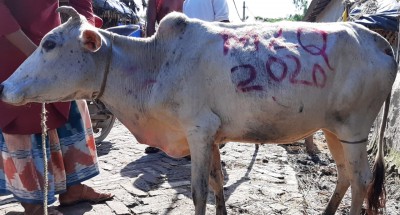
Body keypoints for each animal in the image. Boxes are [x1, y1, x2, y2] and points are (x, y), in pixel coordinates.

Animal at [0, 6, 396, 215]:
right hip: (333, 129)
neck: (156, 64)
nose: (4, 87)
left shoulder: (198, 132)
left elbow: (199, 190)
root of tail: (377, 39)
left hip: (354, 129)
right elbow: (218, 182)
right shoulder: (213, 137)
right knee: (344, 175)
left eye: (50, 44)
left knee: (360, 179)